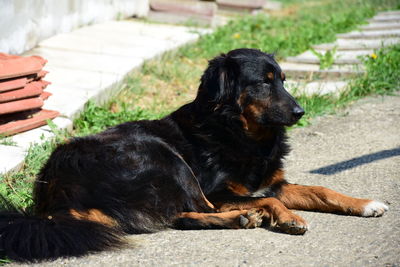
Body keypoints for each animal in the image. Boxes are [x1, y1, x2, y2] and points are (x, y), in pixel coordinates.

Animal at [0, 48, 388, 262]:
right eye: (262, 82)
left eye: (282, 79)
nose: (300, 112)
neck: (239, 131)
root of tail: (53, 192)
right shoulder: (221, 190)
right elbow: (271, 201)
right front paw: (289, 218)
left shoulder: (273, 182)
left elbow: (321, 190)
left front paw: (365, 204)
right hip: (165, 156)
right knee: (191, 212)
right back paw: (243, 216)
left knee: (181, 216)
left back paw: (240, 219)